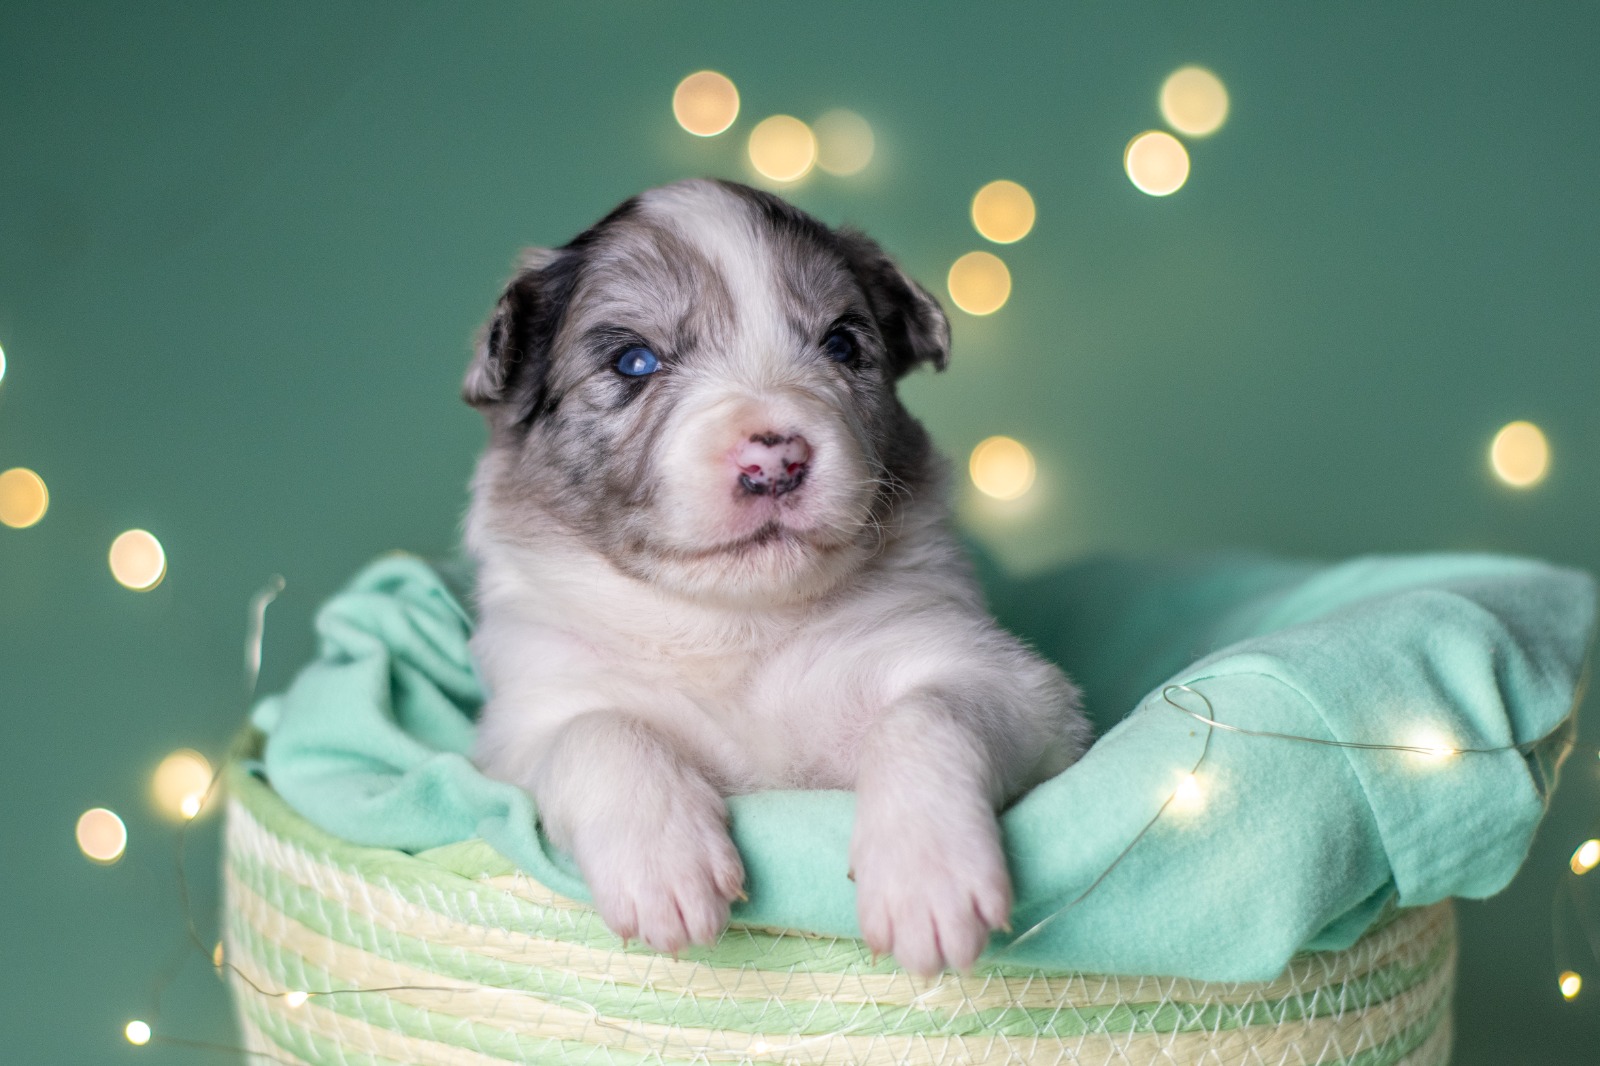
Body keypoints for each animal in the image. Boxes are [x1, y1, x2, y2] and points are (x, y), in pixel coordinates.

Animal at [464, 179, 1088, 976]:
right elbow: (597, 729)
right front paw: (664, 867)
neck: (736, 622)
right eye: (634, 362)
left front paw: (928, 876)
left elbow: (928, 712)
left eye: (843, 344)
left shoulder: (1009, 683)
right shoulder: (522, 723)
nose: (776, 460)